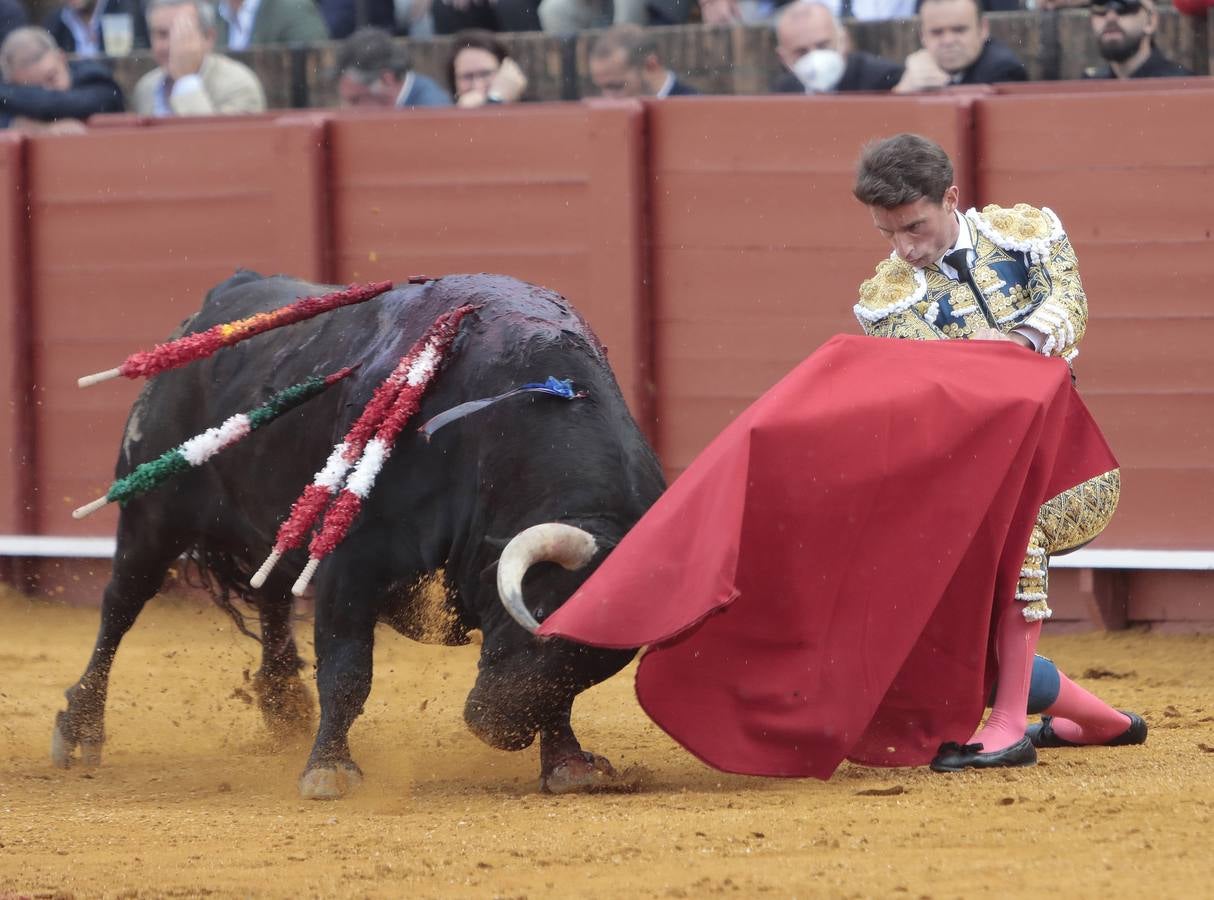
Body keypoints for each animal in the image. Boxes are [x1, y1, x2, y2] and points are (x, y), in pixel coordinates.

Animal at [49, 270, 665, 796]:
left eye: (601, 661)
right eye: (536, 619)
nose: (494, 729)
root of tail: (217, 301)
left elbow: (558, 701)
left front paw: (568, 765)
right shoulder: (351, 565)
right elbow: (347, 670)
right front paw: (329, 771)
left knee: (272, 599)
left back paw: (285, 711)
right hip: (152, 517)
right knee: (120, 608)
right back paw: (79, 730)